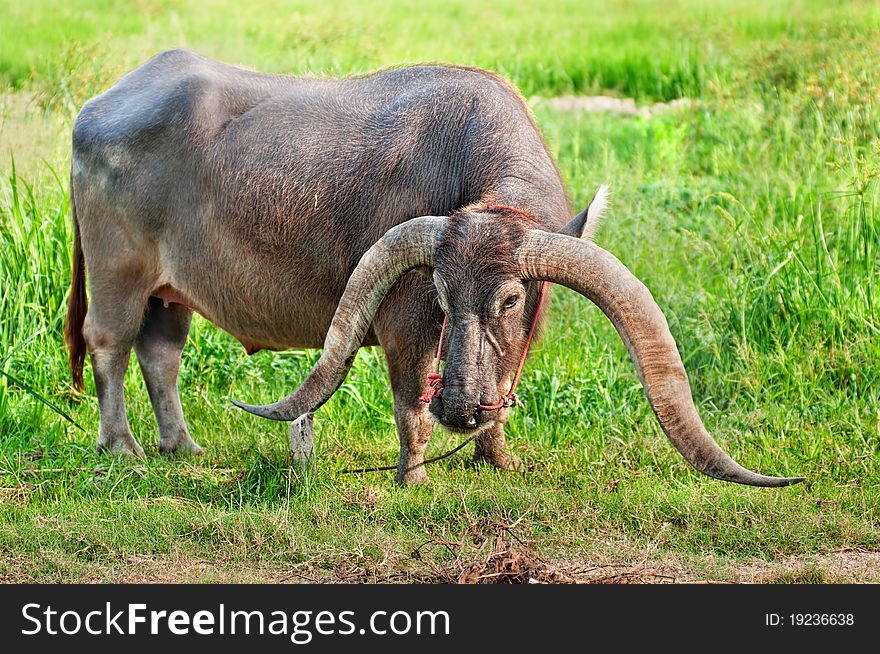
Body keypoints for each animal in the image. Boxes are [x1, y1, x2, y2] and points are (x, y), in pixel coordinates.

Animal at [65, 50, 800, 486]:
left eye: (510, 299)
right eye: (442, 296)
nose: (460, 408)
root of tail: (97, 108)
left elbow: (504, 393)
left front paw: (496, 458)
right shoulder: (403, 328)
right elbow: (407, 407)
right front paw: (413, 475)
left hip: (170, 292)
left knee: (161, 356)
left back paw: (182, 447)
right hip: (118, 275)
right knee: (111, 347)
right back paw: (122, 447)